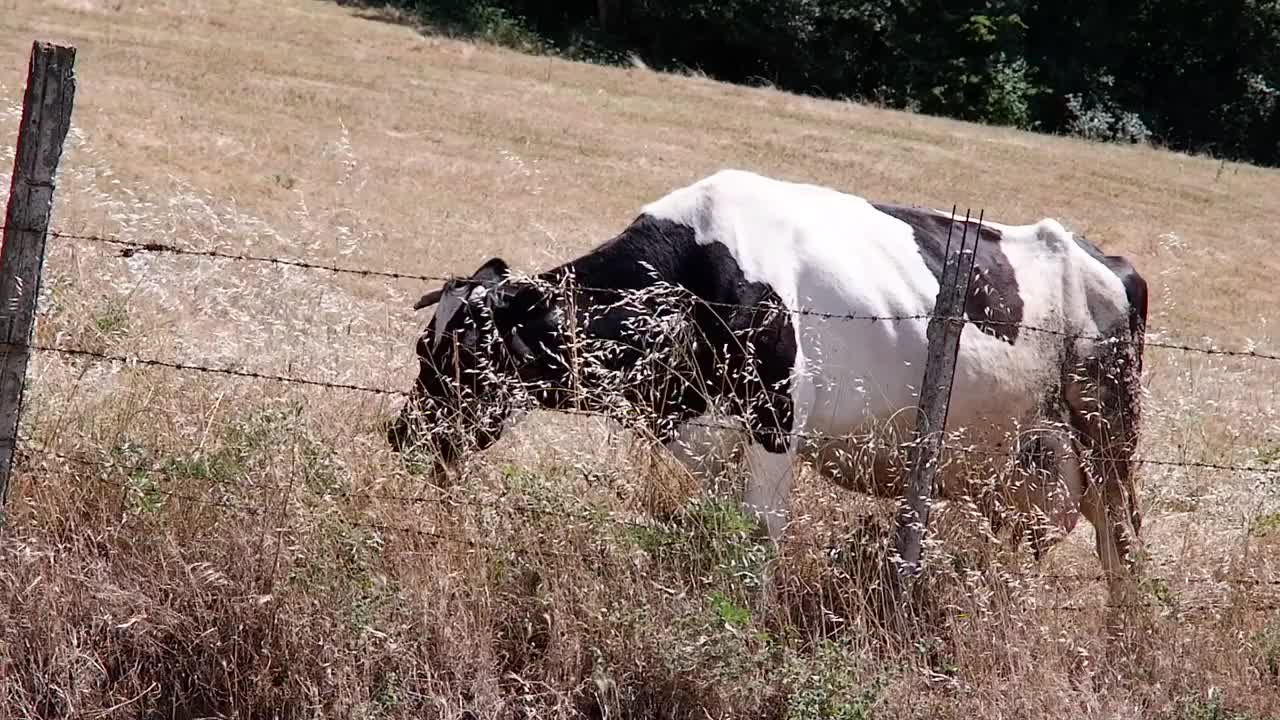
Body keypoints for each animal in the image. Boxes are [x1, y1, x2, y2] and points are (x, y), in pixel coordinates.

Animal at [389, 167, 1152, 594]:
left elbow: (758, 538)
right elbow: (719, 532)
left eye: (455, 353)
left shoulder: (776, 421)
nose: (401, 432)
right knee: (1026, 543)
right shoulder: (709, 435)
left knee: (1121, 544)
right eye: (423, 343)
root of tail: (1104, 258)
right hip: (1022, 463)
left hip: (1107, 435)